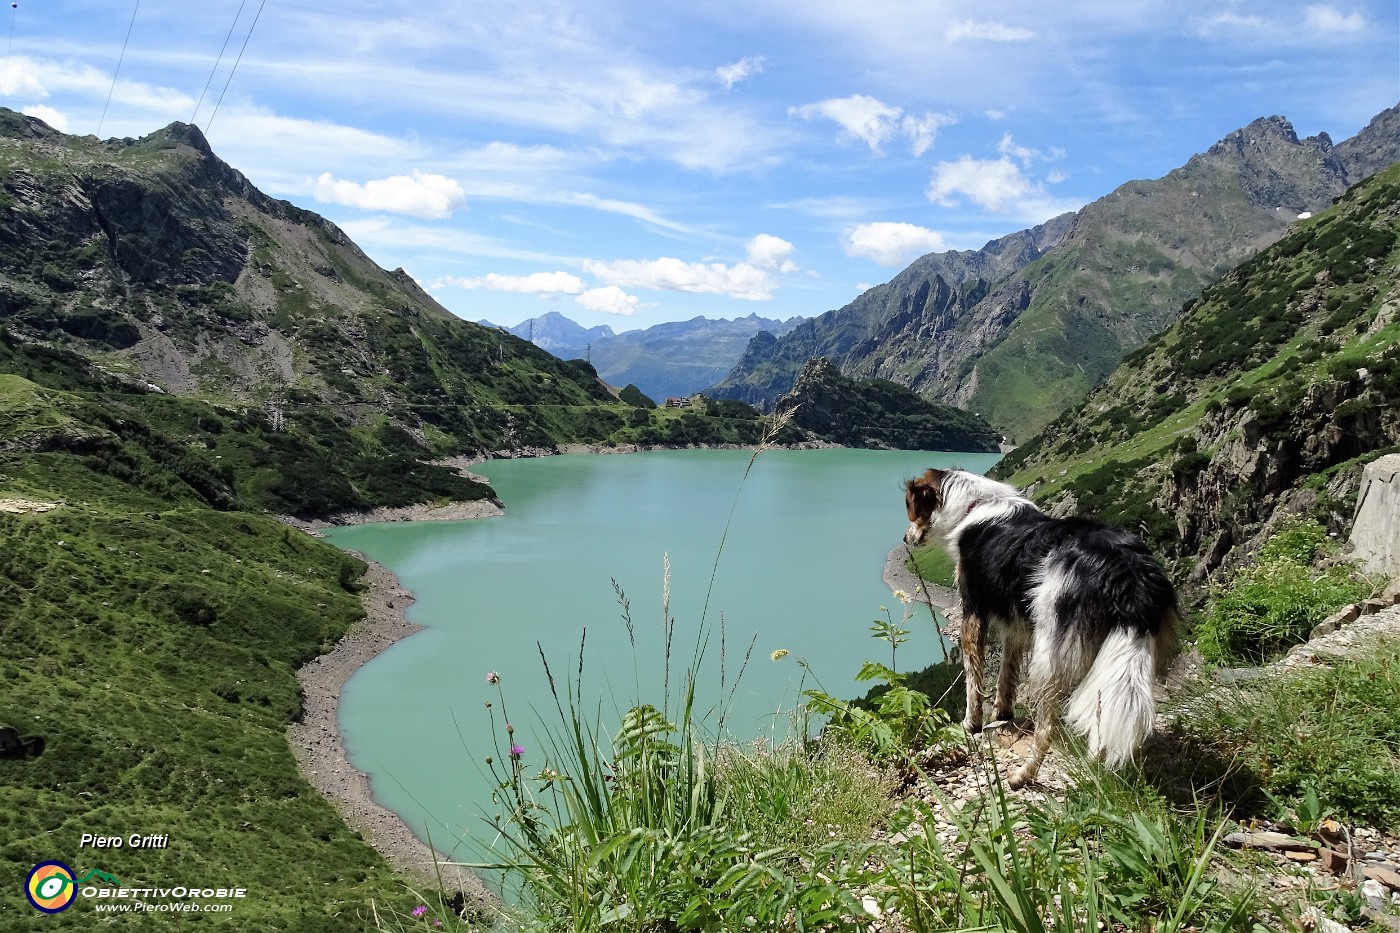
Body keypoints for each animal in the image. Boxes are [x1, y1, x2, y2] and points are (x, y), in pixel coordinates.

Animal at [901, 467, 1176, 778]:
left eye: (913, 510)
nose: (905, 539)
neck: (975, 505)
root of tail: (1123, 573)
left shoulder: (972, 612)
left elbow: (973, 677)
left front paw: (971, 724)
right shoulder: (1016, 624)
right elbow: (1007, 671)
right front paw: (1002, 712)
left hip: (1050, 657)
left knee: (1048, 728)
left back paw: (1024, 775)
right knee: (1100, 711)